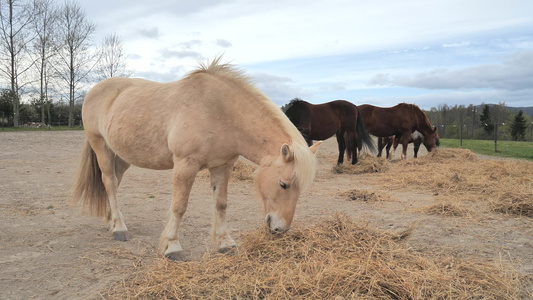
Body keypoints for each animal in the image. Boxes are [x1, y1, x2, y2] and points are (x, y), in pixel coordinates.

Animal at [72, 58, 318, 260]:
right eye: (283, 184)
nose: (280, 229)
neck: (219, 111)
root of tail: (95, 90)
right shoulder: (185, 164)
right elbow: (179, 206)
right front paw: (172, 247)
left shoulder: (223, 166)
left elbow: (221, 204)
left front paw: (225, 243)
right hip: (101, 146)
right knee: (109, 182)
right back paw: (119, 228)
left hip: (122, 156)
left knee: (114, 182)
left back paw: (111, 220)